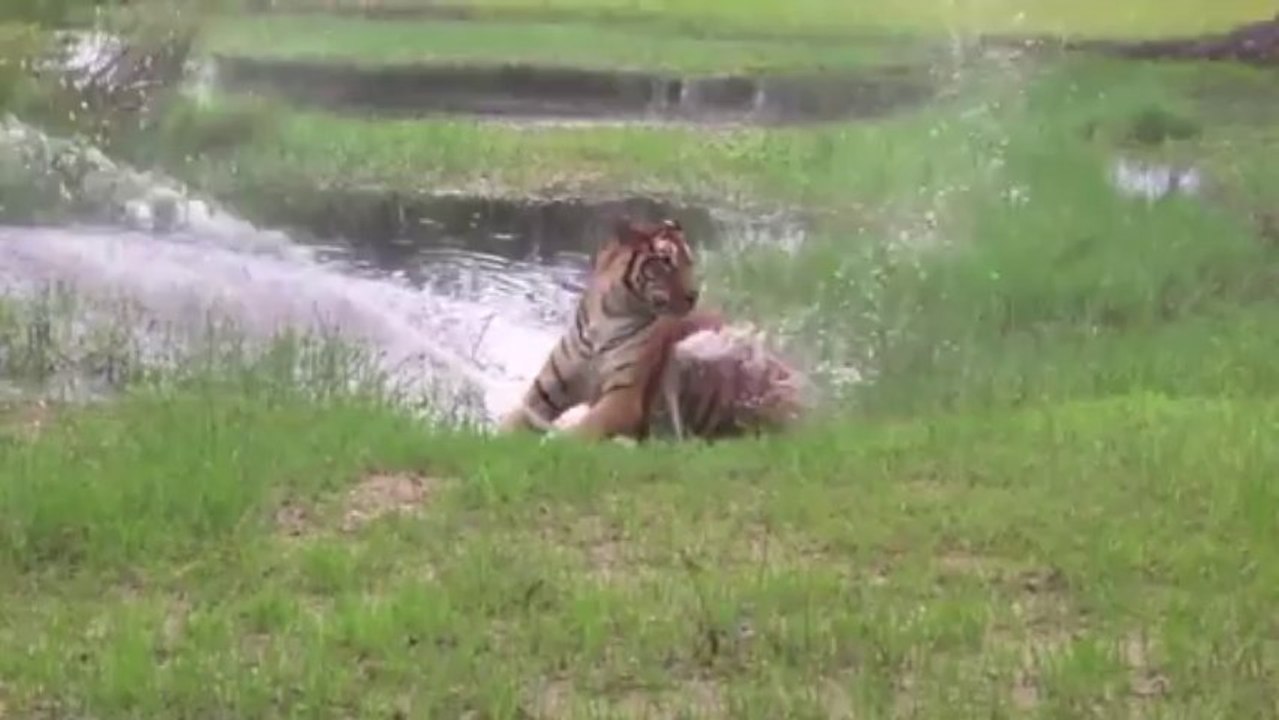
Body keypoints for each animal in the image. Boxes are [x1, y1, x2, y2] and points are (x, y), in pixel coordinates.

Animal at [497, 216, 707, 442]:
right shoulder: (546, 389)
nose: (694, 295)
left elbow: (583, 430)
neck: (609, 315)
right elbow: (514, 419)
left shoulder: (623, 397)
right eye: (666, 261)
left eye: (689, 262)